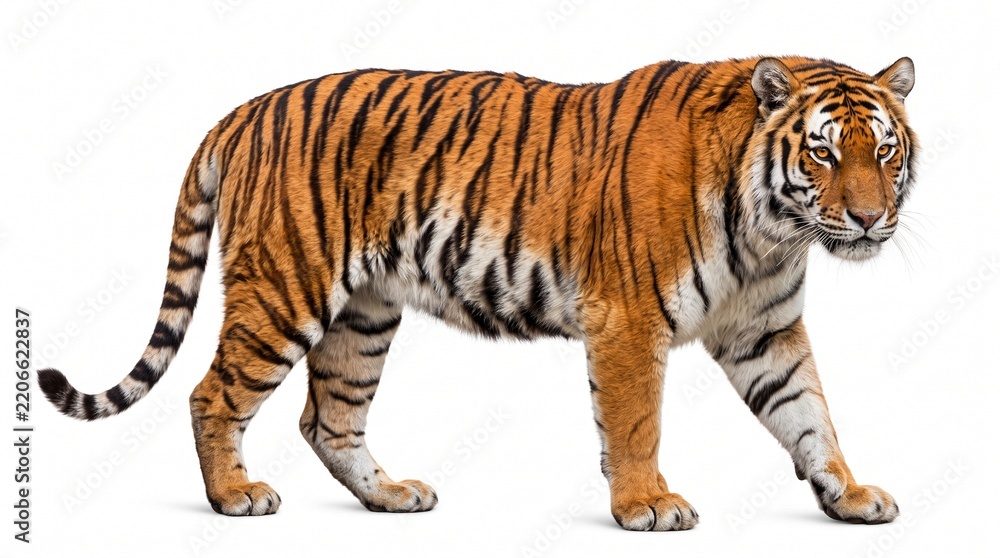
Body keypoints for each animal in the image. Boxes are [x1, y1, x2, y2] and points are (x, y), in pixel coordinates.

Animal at [38, 55, 918, 530]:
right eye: (824, 154)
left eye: (883, 150)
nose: (871, 219)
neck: (773, 230)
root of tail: (244, 109)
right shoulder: (629, 320)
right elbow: (637, 423)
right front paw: (647, 505)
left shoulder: (765, 331)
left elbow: (810, 415)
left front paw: (849, 494)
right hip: (285, 289)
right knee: (212, 395)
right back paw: (235, 496)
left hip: (363, 315)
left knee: (328, 419)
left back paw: (391, 496)